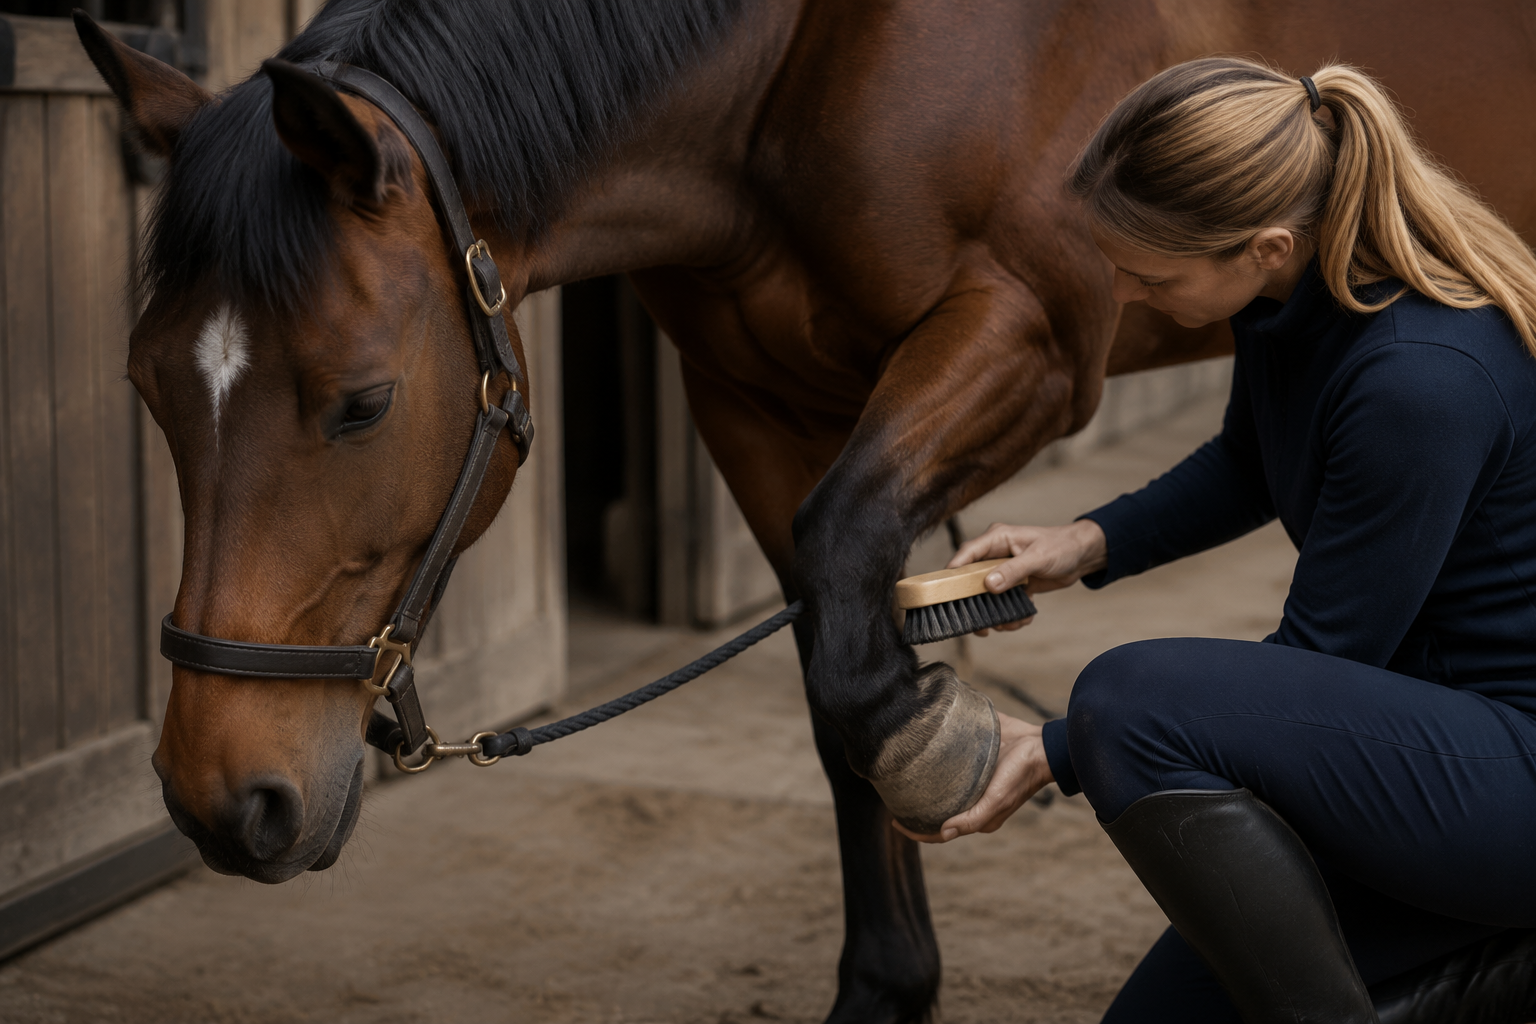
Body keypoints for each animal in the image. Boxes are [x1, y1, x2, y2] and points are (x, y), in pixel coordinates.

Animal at [77, 1, 1535, 1020]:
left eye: (364, 401)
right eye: (145, 384)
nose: (225, 800)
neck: (809, 49)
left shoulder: (1029, 326)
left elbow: (854, 602)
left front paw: (938, 738)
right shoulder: (753, 401)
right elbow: (829, 675)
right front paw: (886, 982)